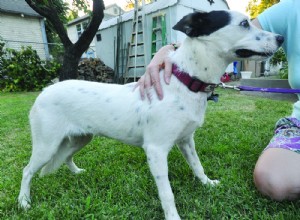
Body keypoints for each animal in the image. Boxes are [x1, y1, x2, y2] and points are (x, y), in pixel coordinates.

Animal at [19, 10, 284, 220]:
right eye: (244, 24)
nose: (281, 38)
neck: (186, 80)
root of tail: (44, 90)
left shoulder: (186, 141)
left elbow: (197, 166)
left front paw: (208, 184)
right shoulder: (156, 150)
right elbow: (166, 193)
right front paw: (173, 217)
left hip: (79, 139)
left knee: (65, 157)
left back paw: (76, 172)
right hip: (47, 145)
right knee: (27, 170)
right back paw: (24, 202)